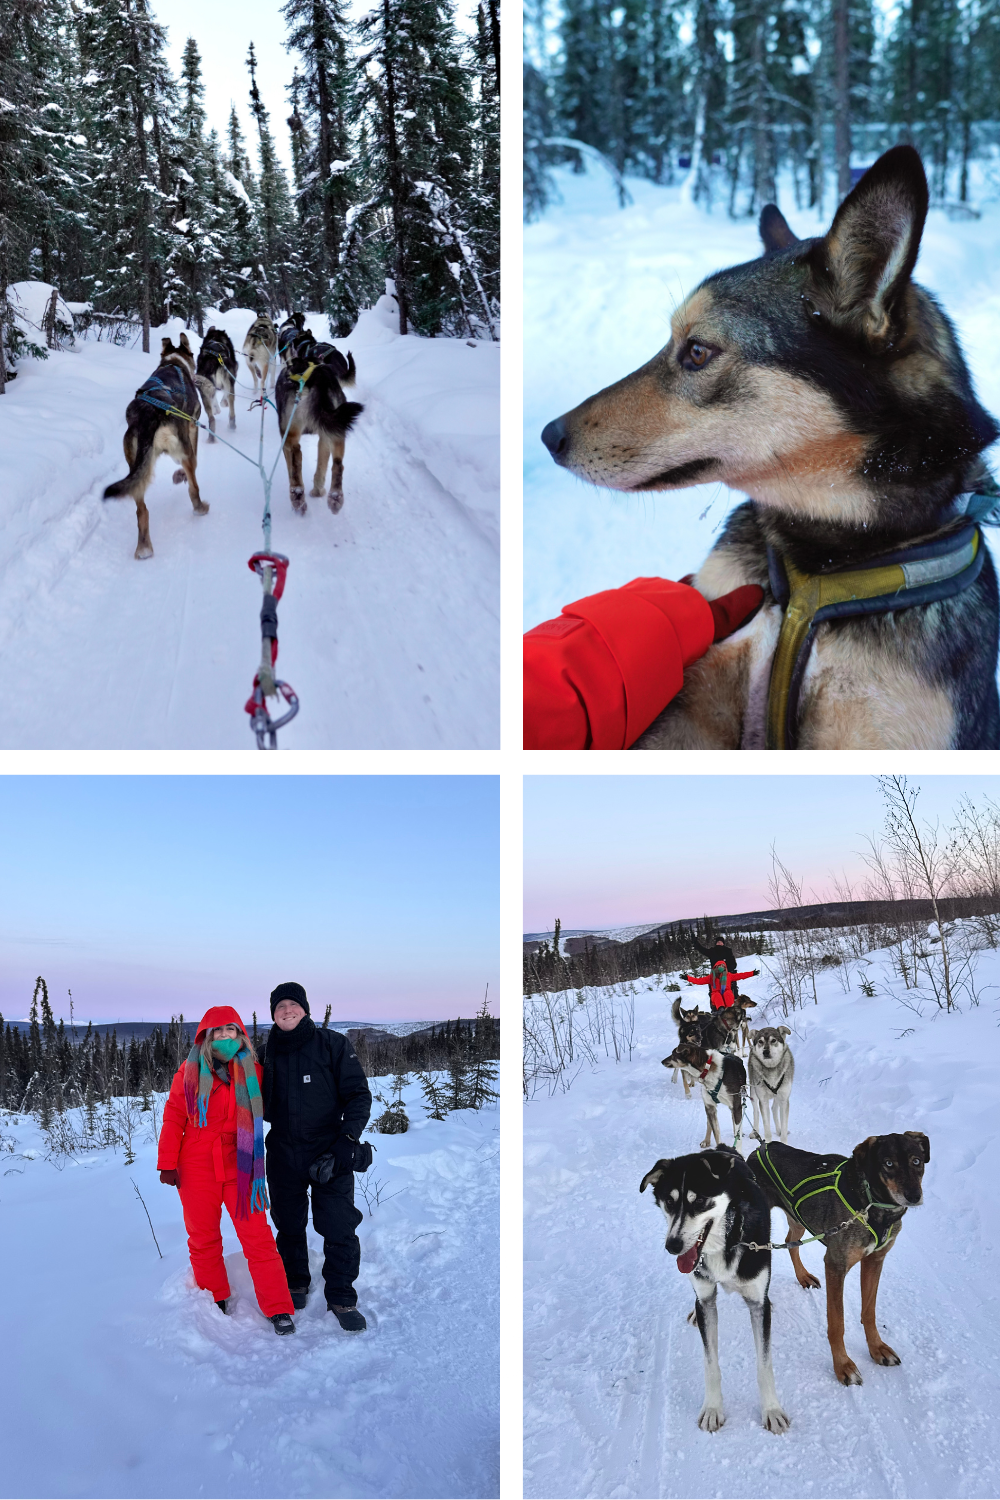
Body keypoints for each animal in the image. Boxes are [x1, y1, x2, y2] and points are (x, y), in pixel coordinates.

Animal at [102, 331, 206, 561]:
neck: (174, 362)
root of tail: (148, 414)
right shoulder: (192, 428)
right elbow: (195, 462)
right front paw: (181, 476)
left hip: (136, 467)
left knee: (142, 510)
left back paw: (144, 548)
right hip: (181, 449)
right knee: (194, 486)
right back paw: (200, 507)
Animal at [274, 345, 364, 516]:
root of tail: (317, 378)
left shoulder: (284, 436)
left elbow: (290, 467)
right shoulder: (324, 436)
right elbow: (321, 467)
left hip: (290, 433)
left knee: (296, 455)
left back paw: (297, 496)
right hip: (337, 430)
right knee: (337, 464)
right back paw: (335, 497)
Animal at [641, 1152, 791, 1434]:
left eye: (699, 1200)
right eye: (669, 1201)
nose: (672, 1245)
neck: (727, 1241)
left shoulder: (757, 1303)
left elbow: (764, 1365)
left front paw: (772, 1410)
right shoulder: (707, 1301)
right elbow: (710, 1364)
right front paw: (712, 1409)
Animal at [749, 1128, 929, 1386]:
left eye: (917, 1161)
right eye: (888, 1163)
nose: (914, 1196)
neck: (872, 1204)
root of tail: (758, 1149)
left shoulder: (874, 1261)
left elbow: (869, 1312)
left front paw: (877, 1348)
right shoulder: (836, 1266)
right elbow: (837, 1324)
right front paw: (843, 1365)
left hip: (798, 1219)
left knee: (791, 1243)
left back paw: (803, 1276)